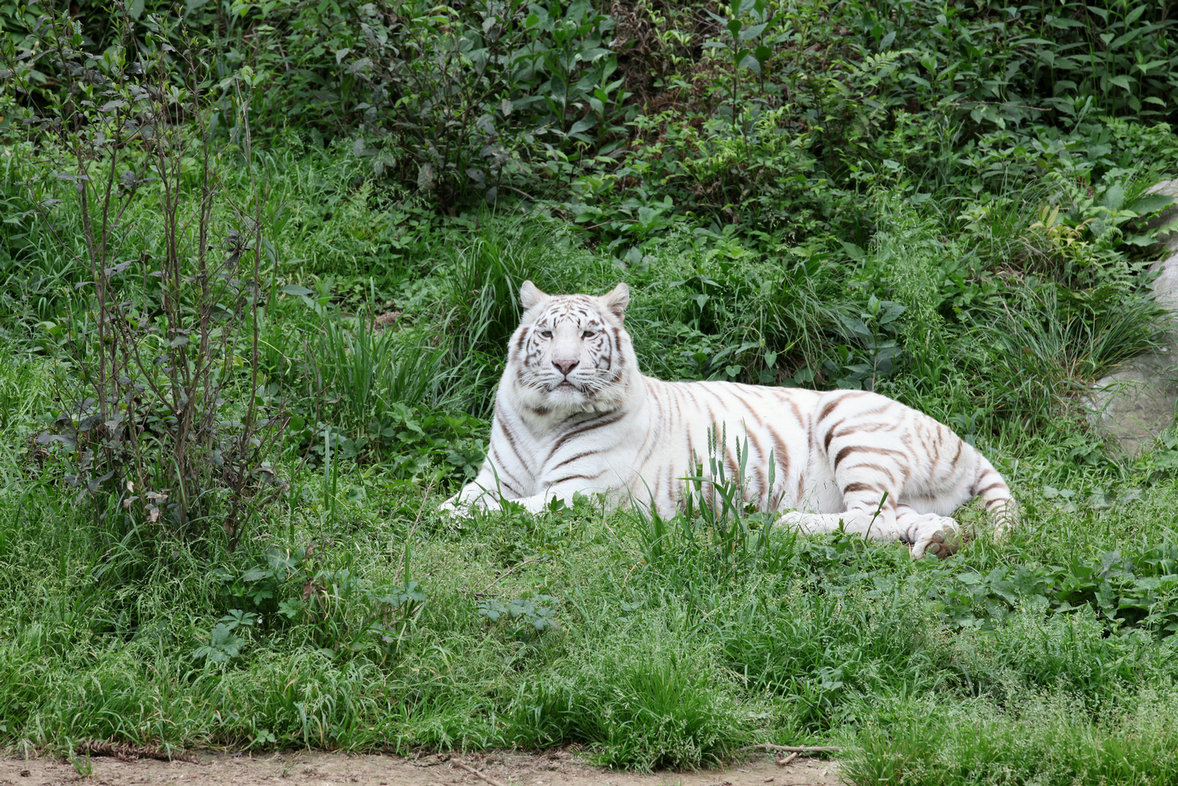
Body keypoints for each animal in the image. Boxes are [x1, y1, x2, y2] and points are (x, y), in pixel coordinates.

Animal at [442, 279, 1013, 556]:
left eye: (587, 334)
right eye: (545, 334)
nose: (563, 365)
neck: (545, 420)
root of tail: (962, 442)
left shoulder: (577, 491)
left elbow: (509, 511)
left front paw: (461, 520)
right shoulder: (494, 477)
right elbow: (460, 502)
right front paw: (445, 512)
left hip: (850, 422)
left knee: (869, 517)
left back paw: (786, 523)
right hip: (917, 495)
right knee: (907, 519)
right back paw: (936, 543)